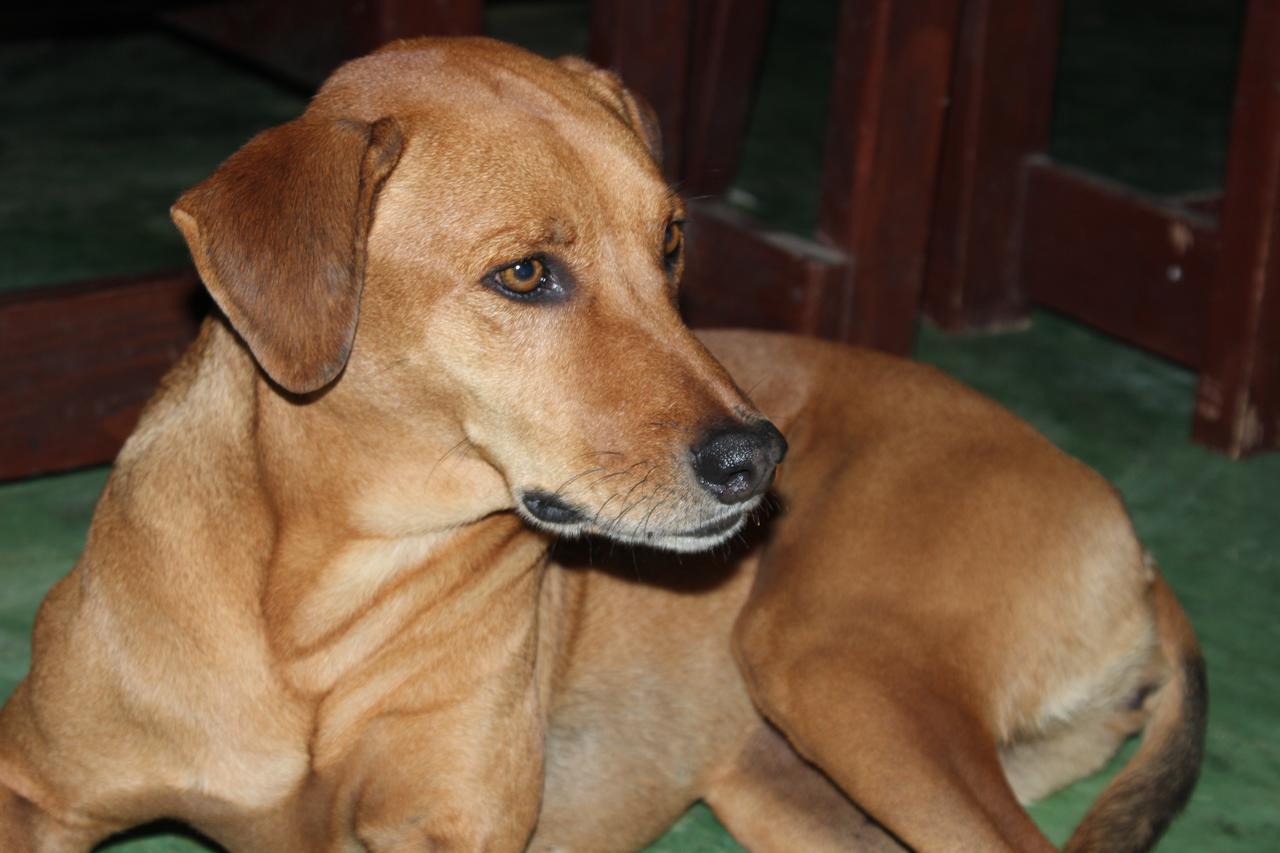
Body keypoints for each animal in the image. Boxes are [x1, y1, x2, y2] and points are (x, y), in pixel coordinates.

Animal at [0, 36, 1198, 845]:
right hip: (788, 777)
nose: (759, 461)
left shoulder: (451, 828)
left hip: (835, 663)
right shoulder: (35, 791)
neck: (306, 612)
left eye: (670, 240)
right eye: (525, 272)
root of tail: (1132, 543)